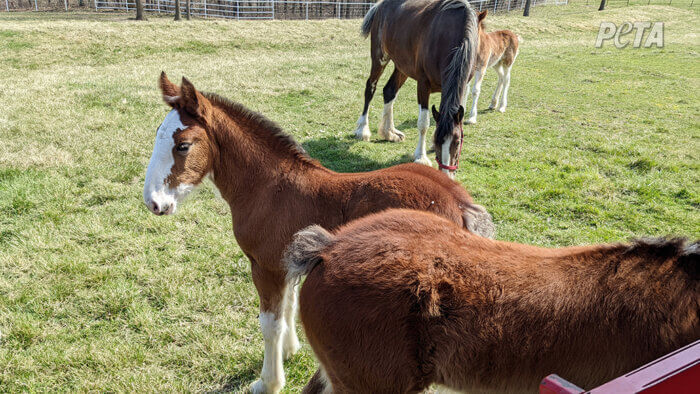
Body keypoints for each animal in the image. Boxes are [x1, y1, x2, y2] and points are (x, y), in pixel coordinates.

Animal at [141, 74, 492, 394]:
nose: (154, 203)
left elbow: (270, 323)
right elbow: (289, 306)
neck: (268, 188)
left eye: (183, 145)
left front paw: (268, 381)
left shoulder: (264, 267)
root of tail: (460, 202)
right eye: (156, 137)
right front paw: (290, 350)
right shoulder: (288, 263)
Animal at [352, 0, 478, 177]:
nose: (446, 176)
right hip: (380, 57)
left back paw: (389, 132)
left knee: (389, 91)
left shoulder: (463, 84)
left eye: (458, 141)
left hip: (402, 67)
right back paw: (363, 129)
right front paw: (421, 157)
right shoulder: (423, 84)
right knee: (371, 88)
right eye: (438, 140)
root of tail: (380, 5)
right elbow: (423, 123)